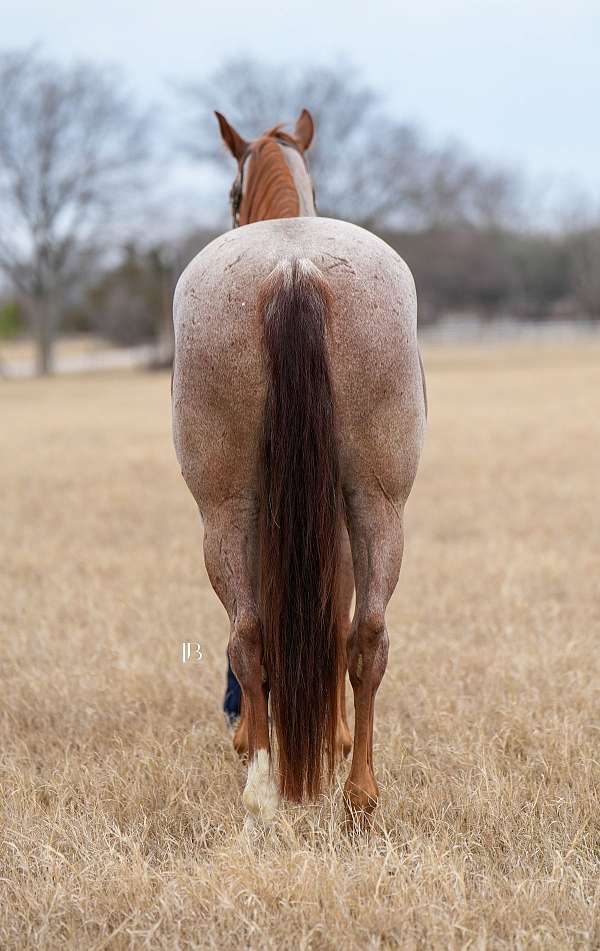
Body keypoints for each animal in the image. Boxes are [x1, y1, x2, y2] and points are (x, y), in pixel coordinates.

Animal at [171, 108, 426, 825]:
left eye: (232, 193)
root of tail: (293, 266)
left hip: (230, 506)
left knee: (253, 633)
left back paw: (271, 780)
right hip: (374, 500)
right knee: (363, 633)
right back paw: (354, 792)